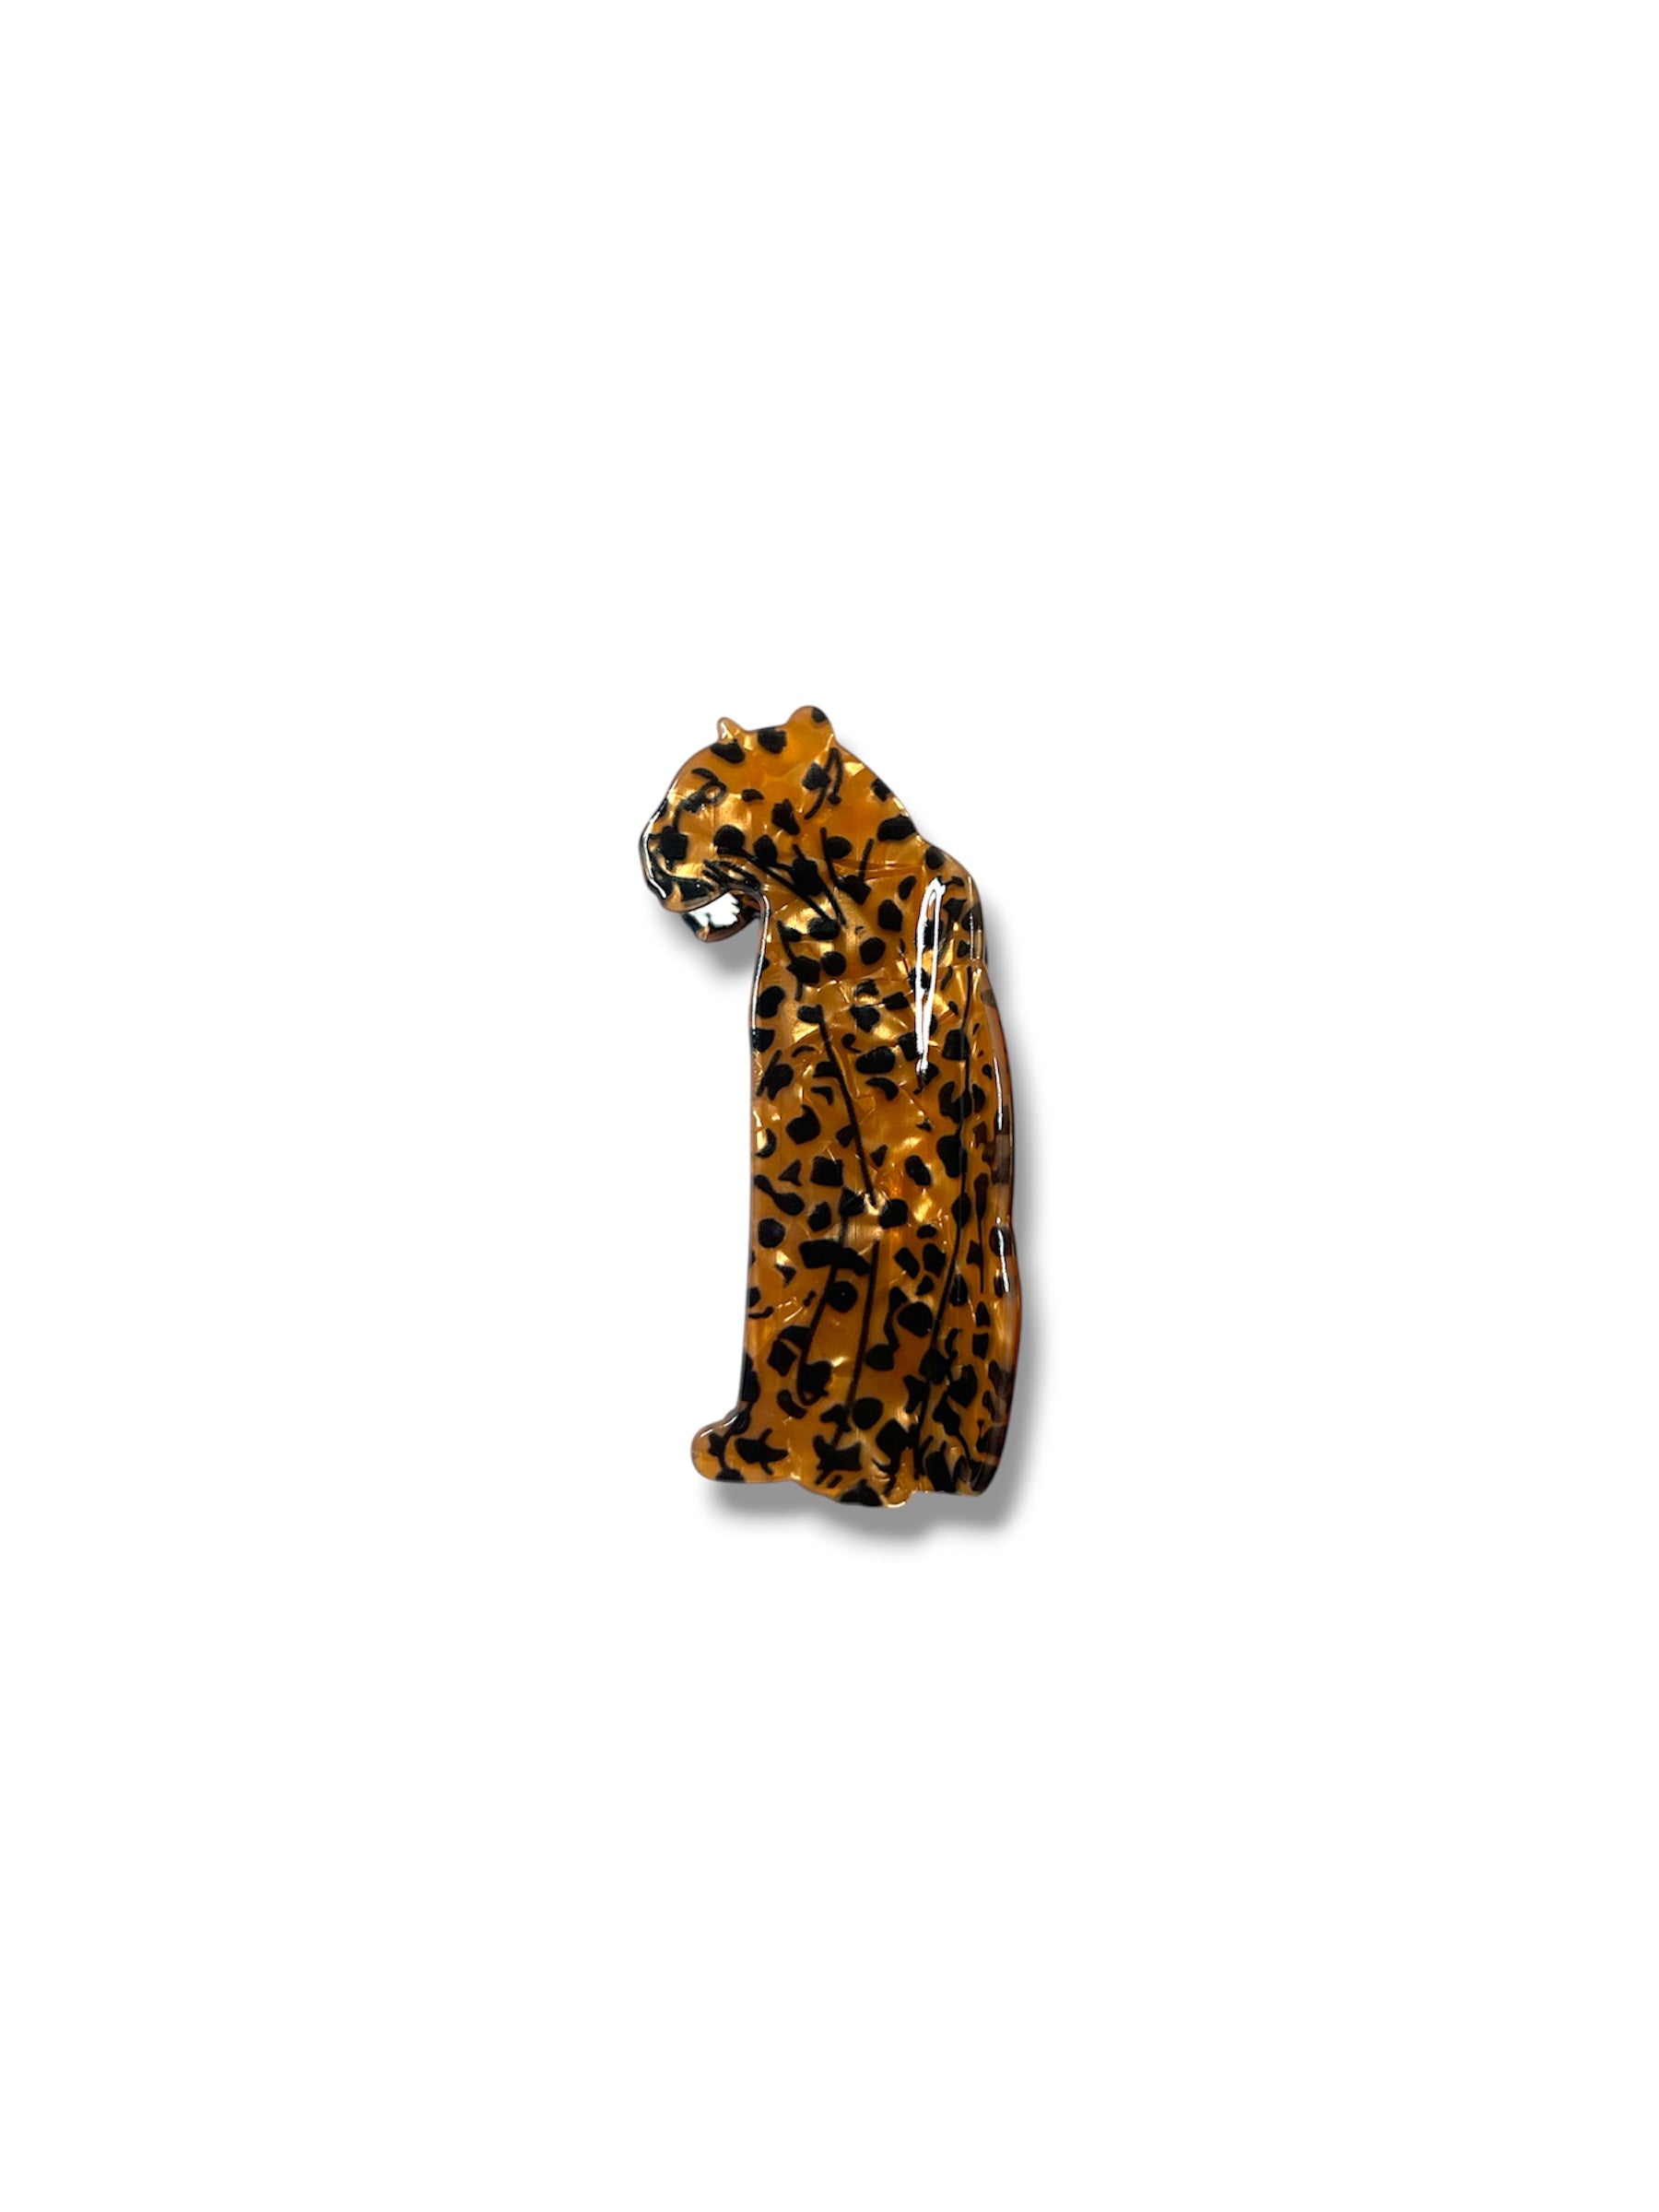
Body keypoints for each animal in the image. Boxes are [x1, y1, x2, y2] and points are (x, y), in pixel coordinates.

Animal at [640, 705, 1020, 1507]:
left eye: (700, 794)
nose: (648, 849)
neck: (826, 911)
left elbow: (889, 1317)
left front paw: (861, 1470)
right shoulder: (792, 1124)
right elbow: (782, 1288)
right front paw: (761, 1445)